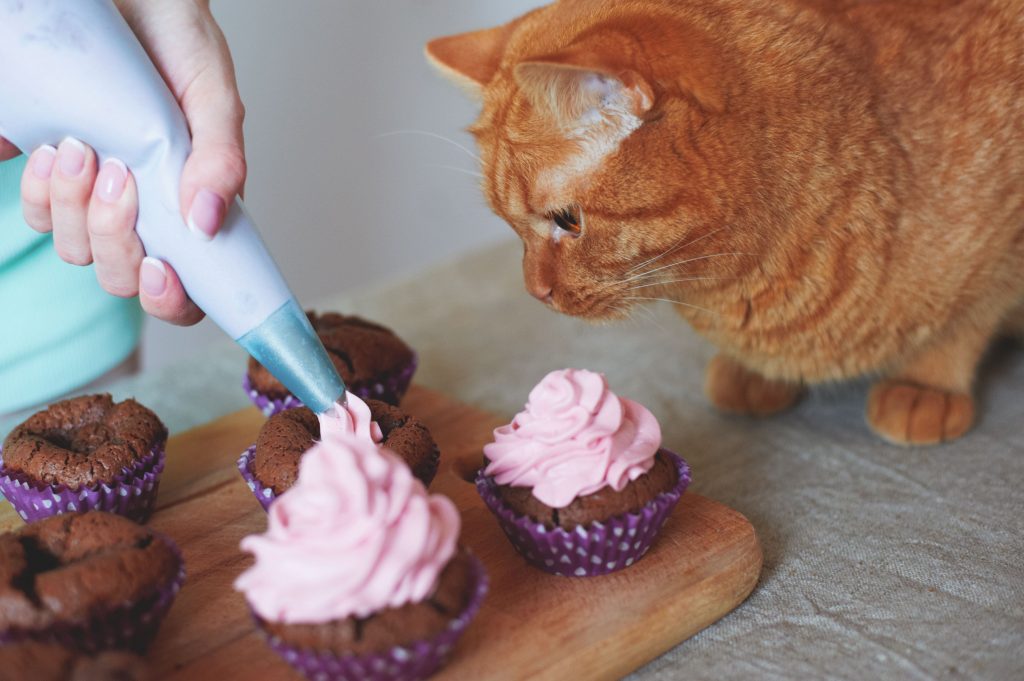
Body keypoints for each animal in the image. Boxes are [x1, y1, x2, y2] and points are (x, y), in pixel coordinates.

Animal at [425, 0, 1024, 444]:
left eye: (567, 222)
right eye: (510, 225)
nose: (535, 292)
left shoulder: (1003, 248)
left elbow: (964, 322)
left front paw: (928, 382)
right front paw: (753, 375)